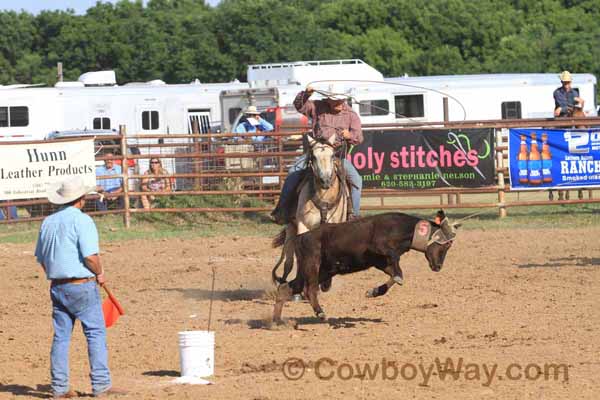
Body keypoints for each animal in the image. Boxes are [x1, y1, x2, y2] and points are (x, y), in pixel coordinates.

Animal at [270, 134, 350, 288]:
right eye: (313, 156)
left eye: (332, 155)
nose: (325, 180)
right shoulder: (304, 226)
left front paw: (325, 283)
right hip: (291, 227)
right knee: (288, 262)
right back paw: (284, 282)